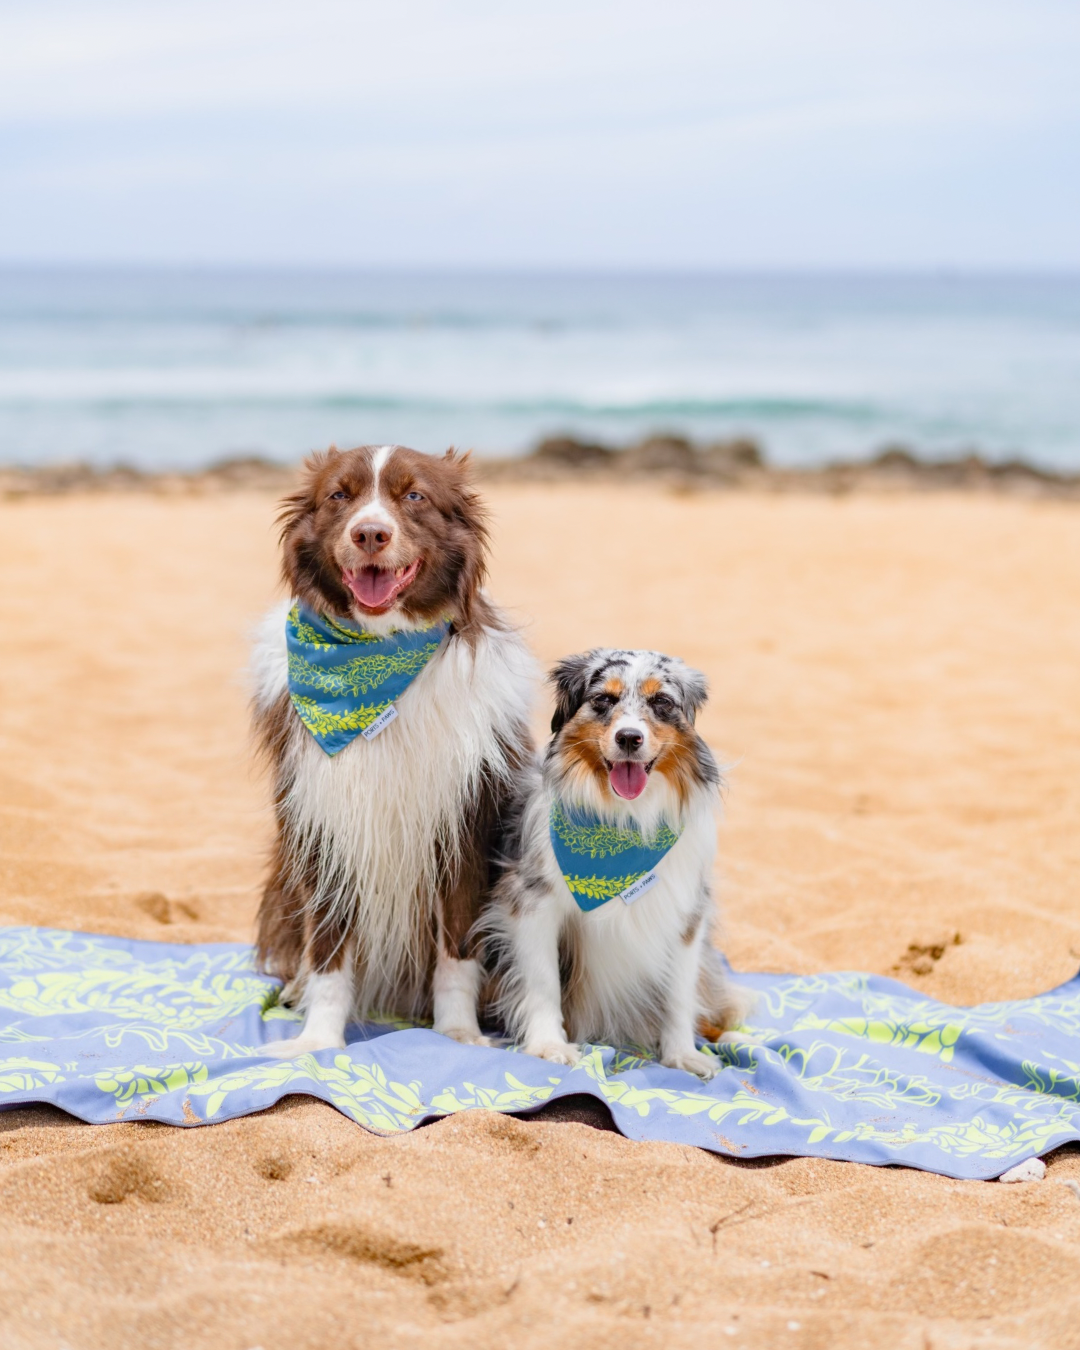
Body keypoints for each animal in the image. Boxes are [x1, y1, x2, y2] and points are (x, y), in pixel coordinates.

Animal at [253, 442, 540, 1053]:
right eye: (339, 495)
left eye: (415, 496)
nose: (370, 534)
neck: (378, 653)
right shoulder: (325, 827)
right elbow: (329, 953)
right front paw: (318, 1039)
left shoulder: (463, 827)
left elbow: (457, 951)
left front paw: (458, 1033)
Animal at [486, 648, 745, 1080]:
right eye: (604, 700)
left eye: (662, 702)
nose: (628, 737)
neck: (625, 822)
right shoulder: (533, 901)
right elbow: (542, 981)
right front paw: (548, 1045)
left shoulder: (687, 913)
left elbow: (680, 991)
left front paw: (682, 1054)